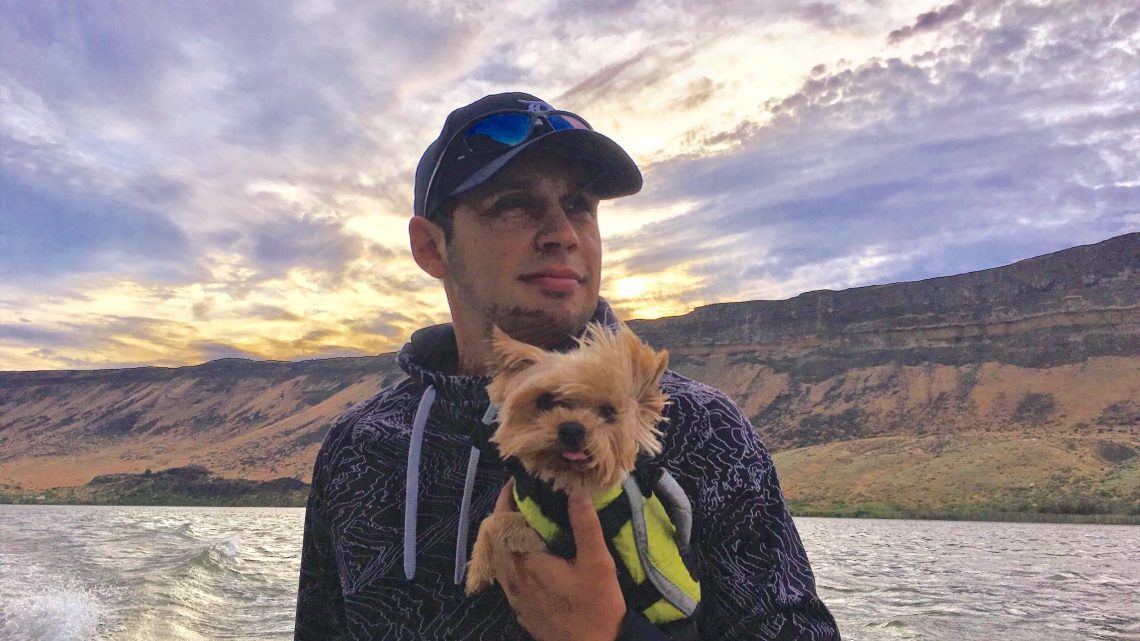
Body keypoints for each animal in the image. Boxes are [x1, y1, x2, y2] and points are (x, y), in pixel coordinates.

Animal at [465, 319, 697, 629]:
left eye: (608, 412)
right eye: (545, 400)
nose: (573, 428)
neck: (561, 480)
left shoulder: (558, 541)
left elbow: (494, 523)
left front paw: (476, 571)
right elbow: (493, 521)